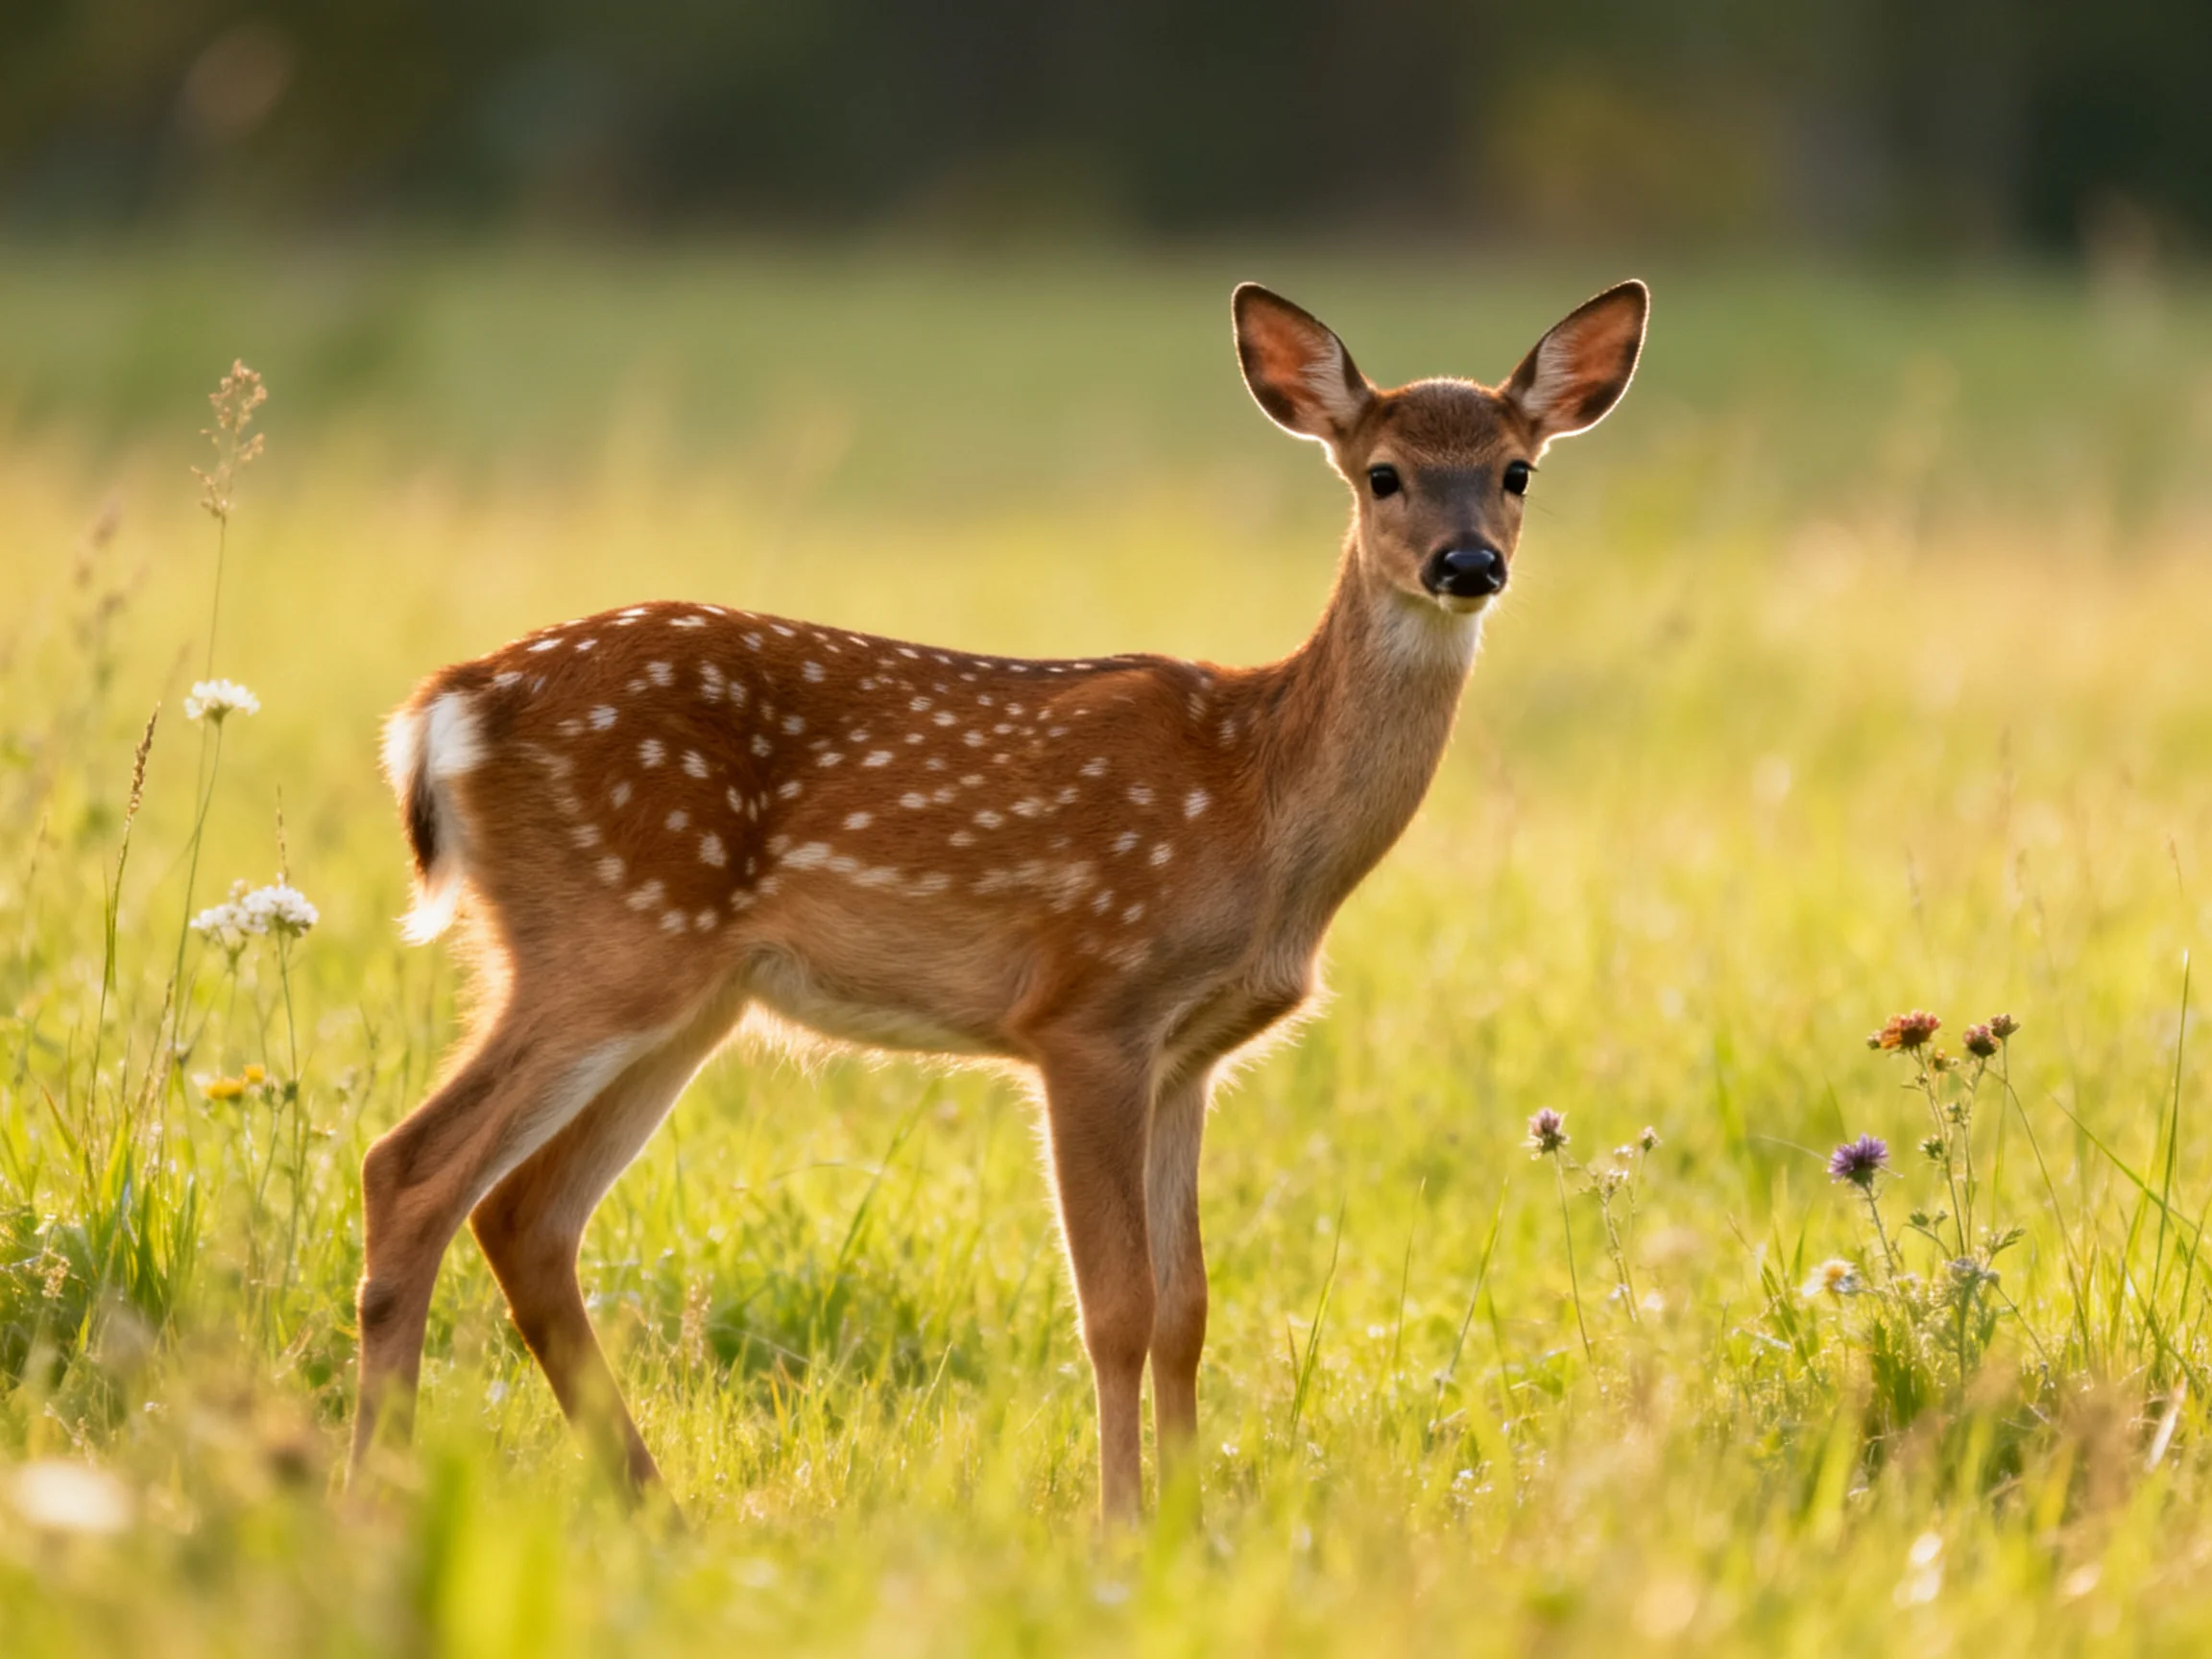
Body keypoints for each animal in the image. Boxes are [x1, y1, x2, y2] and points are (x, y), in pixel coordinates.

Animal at [351, 278, 1648, 1524]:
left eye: (1516, 471)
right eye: (1382, 474)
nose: (1468, 564)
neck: (1257, 802)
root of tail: (445, 706)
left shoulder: (1191, 1054)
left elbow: (1188, 1311)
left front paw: (1193, 1528)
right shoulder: (1087, 1012)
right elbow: (1116, 1308)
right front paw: (1121, 1530)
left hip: (687, 997)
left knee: (525, 1215)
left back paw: (649, 1509)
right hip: (608, 938)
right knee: (411, 1169)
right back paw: (376, 1491)